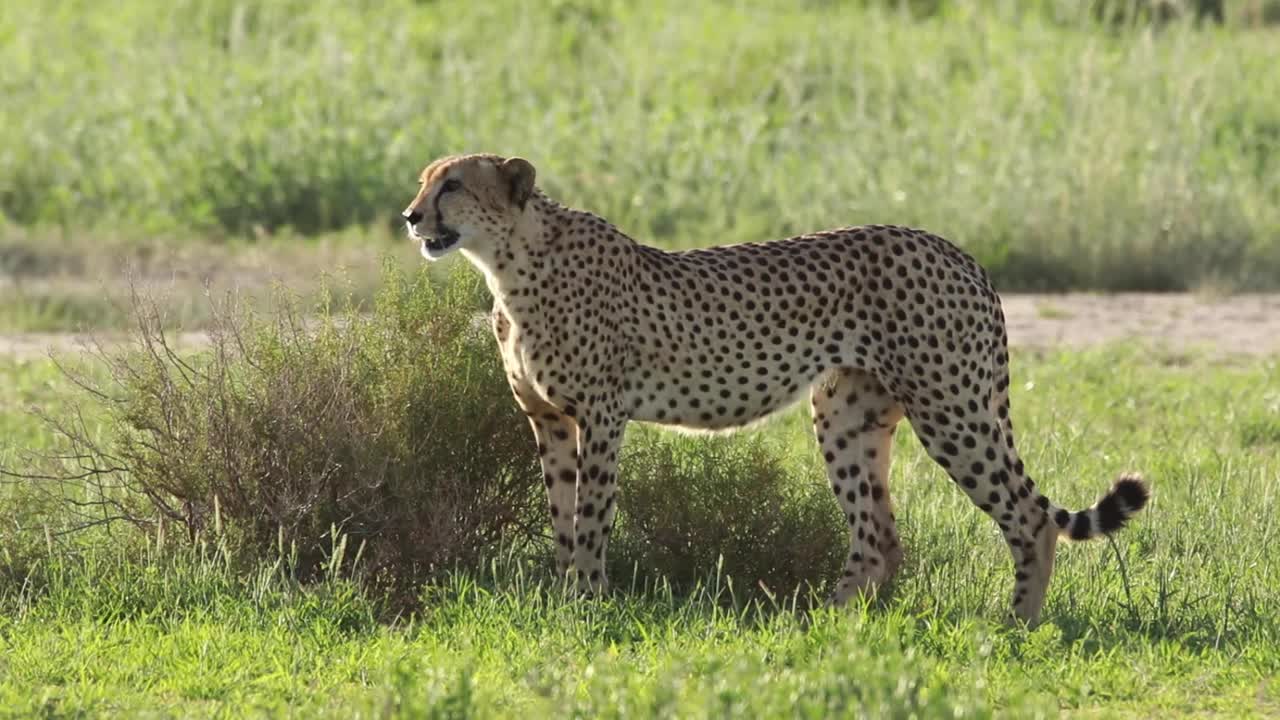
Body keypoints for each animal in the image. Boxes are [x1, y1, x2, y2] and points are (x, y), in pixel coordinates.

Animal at [400, 153, 1149, 624]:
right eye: (425, 181)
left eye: (453, 186)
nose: (410, 217)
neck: (511, 262)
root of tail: (957, 250)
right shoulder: (550, 420)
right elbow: (560, 517)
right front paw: (562, 601)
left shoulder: (602, 417)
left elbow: (589, 520)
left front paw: (587, 602)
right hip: (843, 412)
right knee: (879, 538)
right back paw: (824, 623)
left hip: (950, 407)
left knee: (1026, 518)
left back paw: (1015, 625)